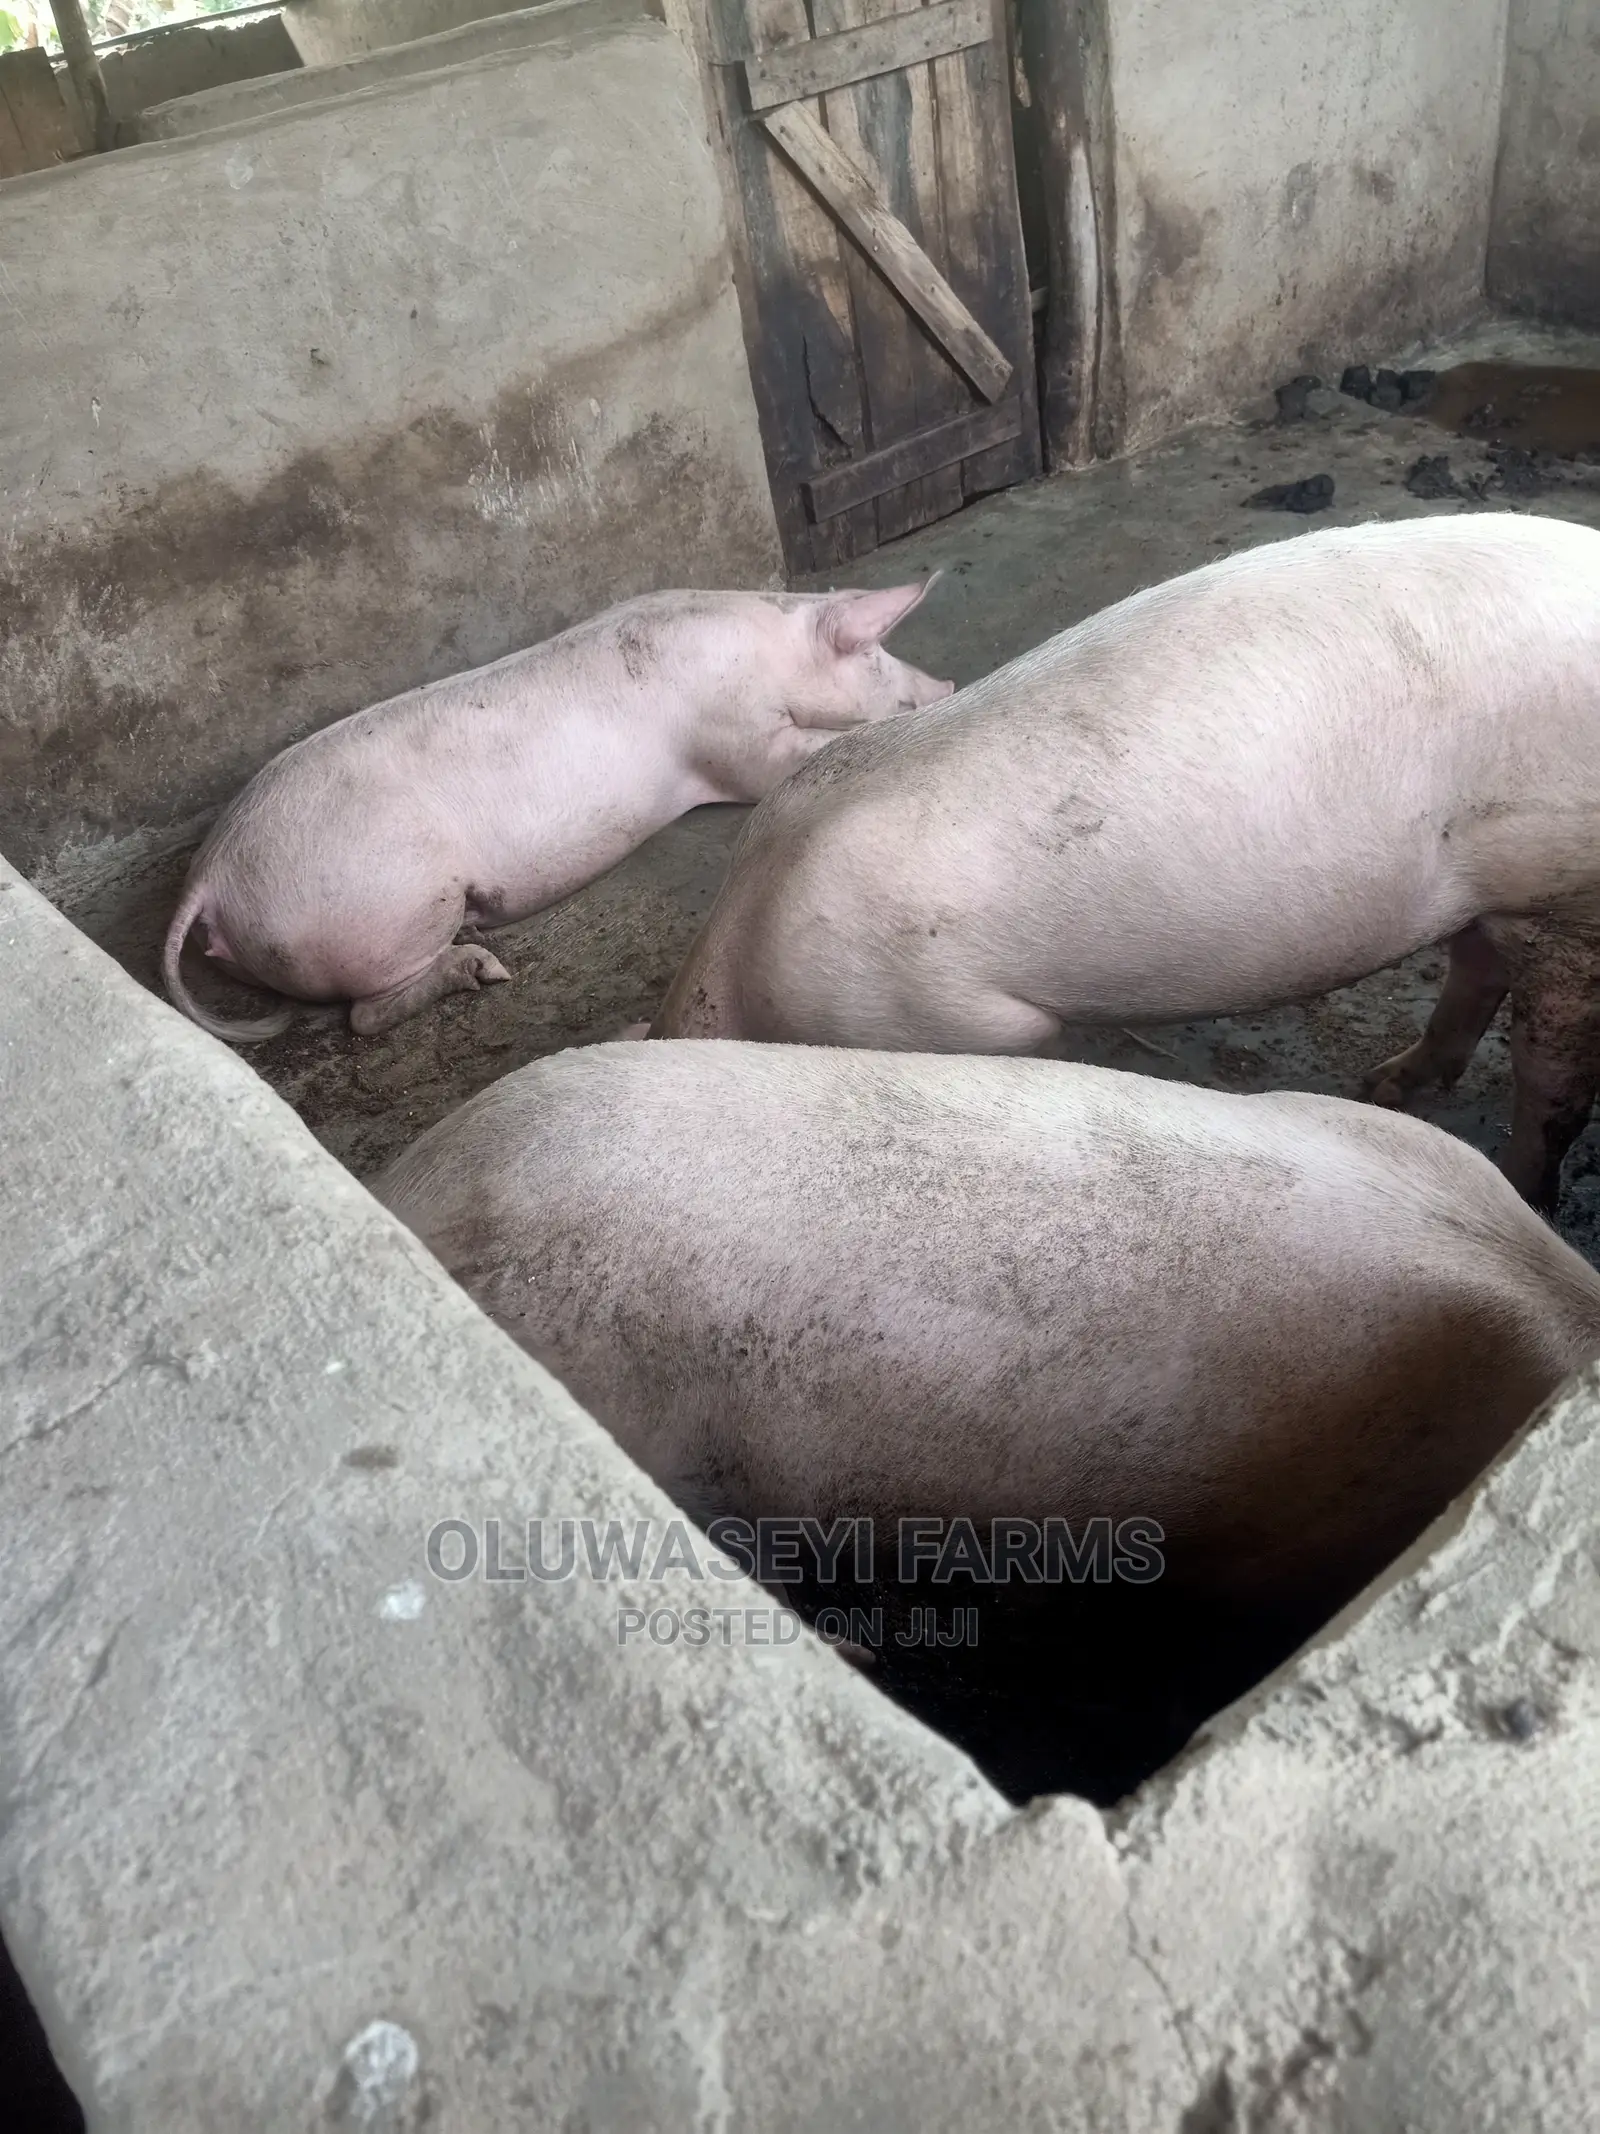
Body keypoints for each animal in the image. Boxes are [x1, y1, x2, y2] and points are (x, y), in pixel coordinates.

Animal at [162, 582, 951, 1042]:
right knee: (364, 1012)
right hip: (388, 901)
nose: (942, 683)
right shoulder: (733, 739)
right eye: (873, 655)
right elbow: (778, 759)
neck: (767, 648)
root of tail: (213, 873)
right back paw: (483, 968)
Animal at [651, 514, 1600, 1212]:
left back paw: (1520, 1189)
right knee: (1478, 966)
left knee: (1552, 1070)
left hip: (1570, 883)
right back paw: (1386, 1087)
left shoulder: (956, 1021)